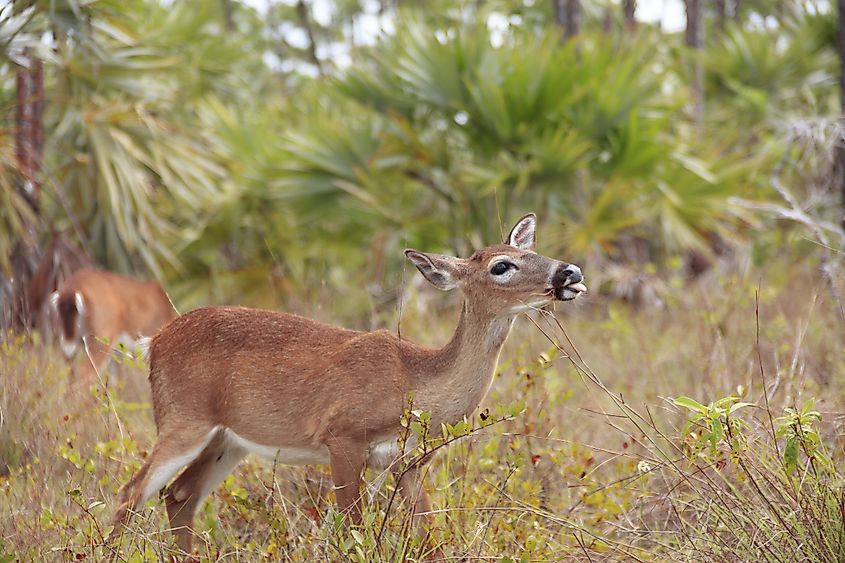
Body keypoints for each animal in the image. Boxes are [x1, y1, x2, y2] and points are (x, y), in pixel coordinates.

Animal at [109, 214, 584, 556]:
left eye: (533, 250)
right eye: (501, 265)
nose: (571, 272)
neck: (416, 380)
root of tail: (154, 342)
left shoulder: (408, 463)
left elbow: (429, 538)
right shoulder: (342, 436)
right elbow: (352, 531)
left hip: (228, 440)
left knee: (179, 495)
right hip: (183, 418)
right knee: (131, 493)